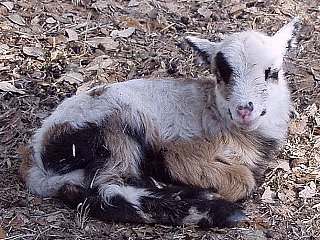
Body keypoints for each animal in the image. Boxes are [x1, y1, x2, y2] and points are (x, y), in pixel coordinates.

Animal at [21, 17, 298, 228]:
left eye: (272, 73)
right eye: (220, 75)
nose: (244, 111)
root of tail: (37, 158)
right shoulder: (182, 152)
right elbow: (242, 178)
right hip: (114, 125)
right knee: (106, 189)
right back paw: (215, 210)